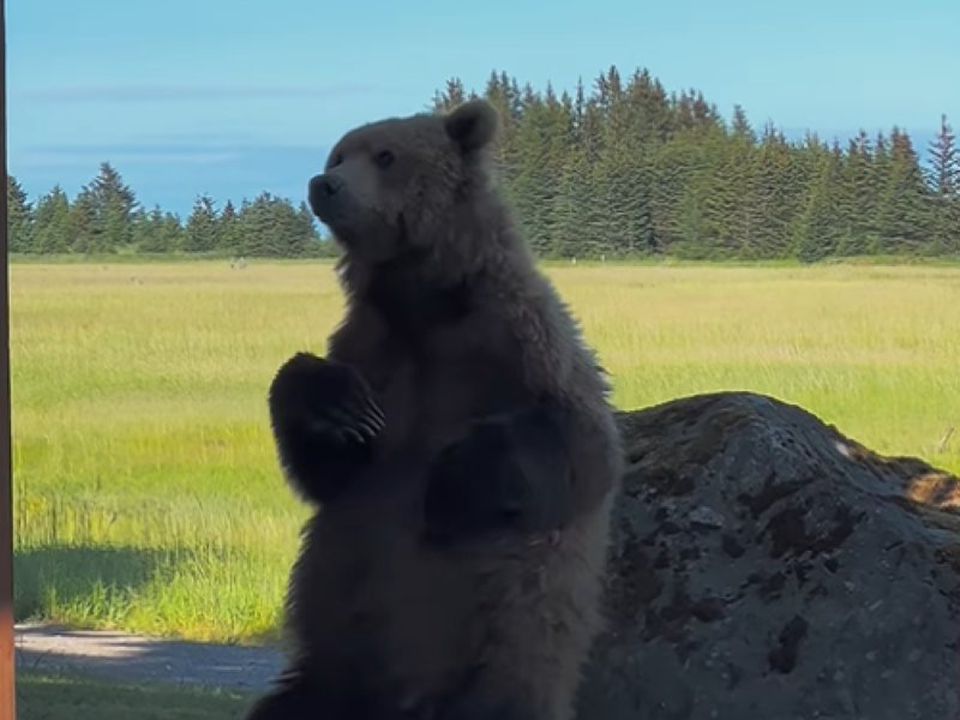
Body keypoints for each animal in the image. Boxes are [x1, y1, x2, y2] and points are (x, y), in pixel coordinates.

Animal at [244, 100, 628, 720]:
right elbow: (329, 468)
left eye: (386, 155)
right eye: (338, 153)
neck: (424, 303)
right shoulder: (373, 347)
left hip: (496, 674)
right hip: (332, 670)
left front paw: (451, 480)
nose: (325, 185)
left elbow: (582, 444)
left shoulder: (516, 337)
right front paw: (338, 407)